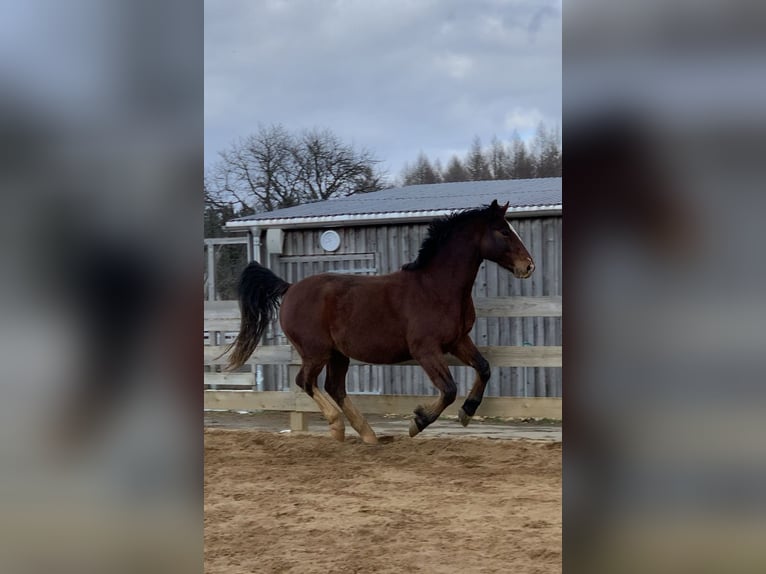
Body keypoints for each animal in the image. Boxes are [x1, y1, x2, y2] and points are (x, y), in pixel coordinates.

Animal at [225, 201, 536, 446]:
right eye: (503, 231)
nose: (529, 266)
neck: (436, 288)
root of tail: (289, 288)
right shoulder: (426, 350)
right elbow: (448, 390)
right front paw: (417, 422)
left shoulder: (458, 341)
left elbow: (484, 368)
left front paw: (466, 413)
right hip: (316, 352)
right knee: (306, 382)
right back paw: (337, 427)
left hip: (338, 354)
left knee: (334, 387)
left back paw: (368, 435)